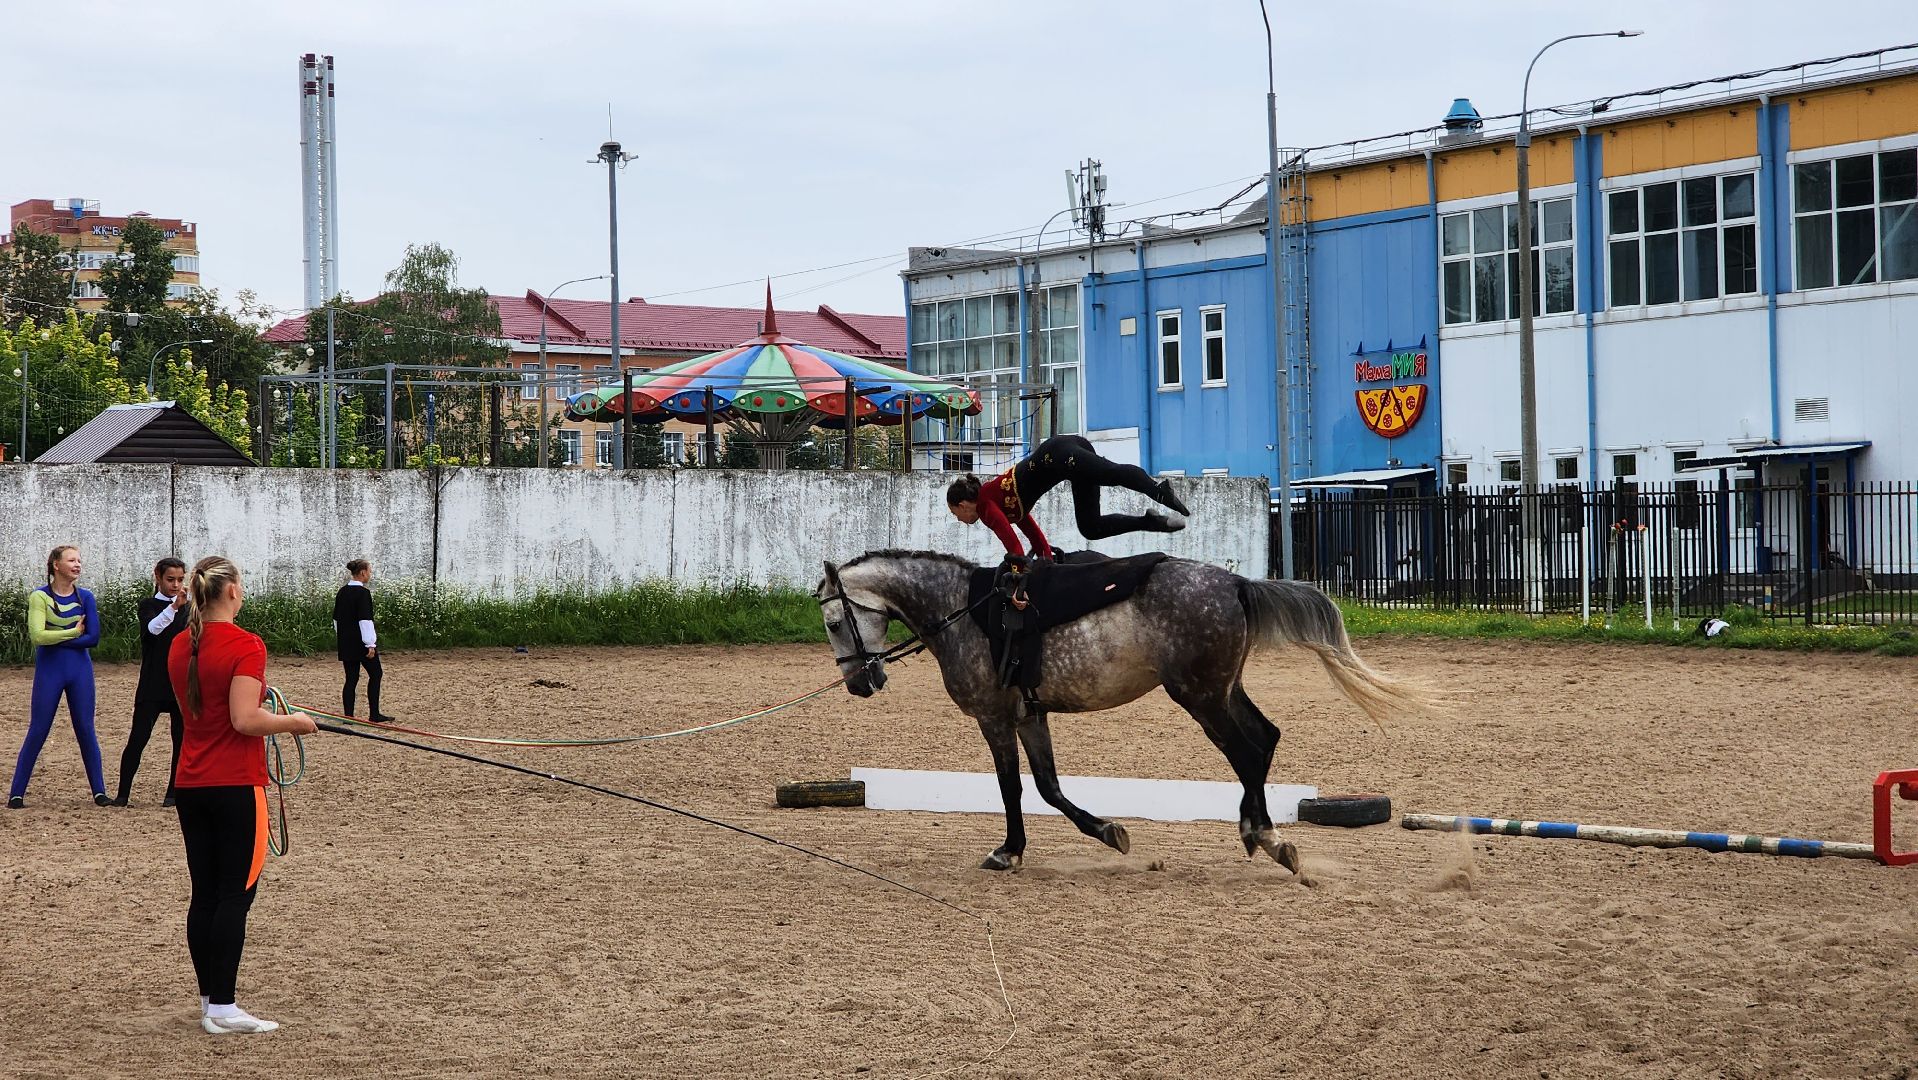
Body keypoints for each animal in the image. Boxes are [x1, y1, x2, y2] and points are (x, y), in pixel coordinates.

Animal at [815, 550, 1433, 873]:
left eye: (833, 621)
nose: (860, 683)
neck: (965, 611)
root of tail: (1235, 582)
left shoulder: (995, 719)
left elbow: (1012, 788)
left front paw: (1009, 851)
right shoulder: (1030, 715)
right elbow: (1048, 787)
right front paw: (1108, 831)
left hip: (1200, 698)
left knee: (1245, 751)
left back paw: (1264, 835)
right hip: (1221, 690)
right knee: (1265, 739)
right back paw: (1256, 830)